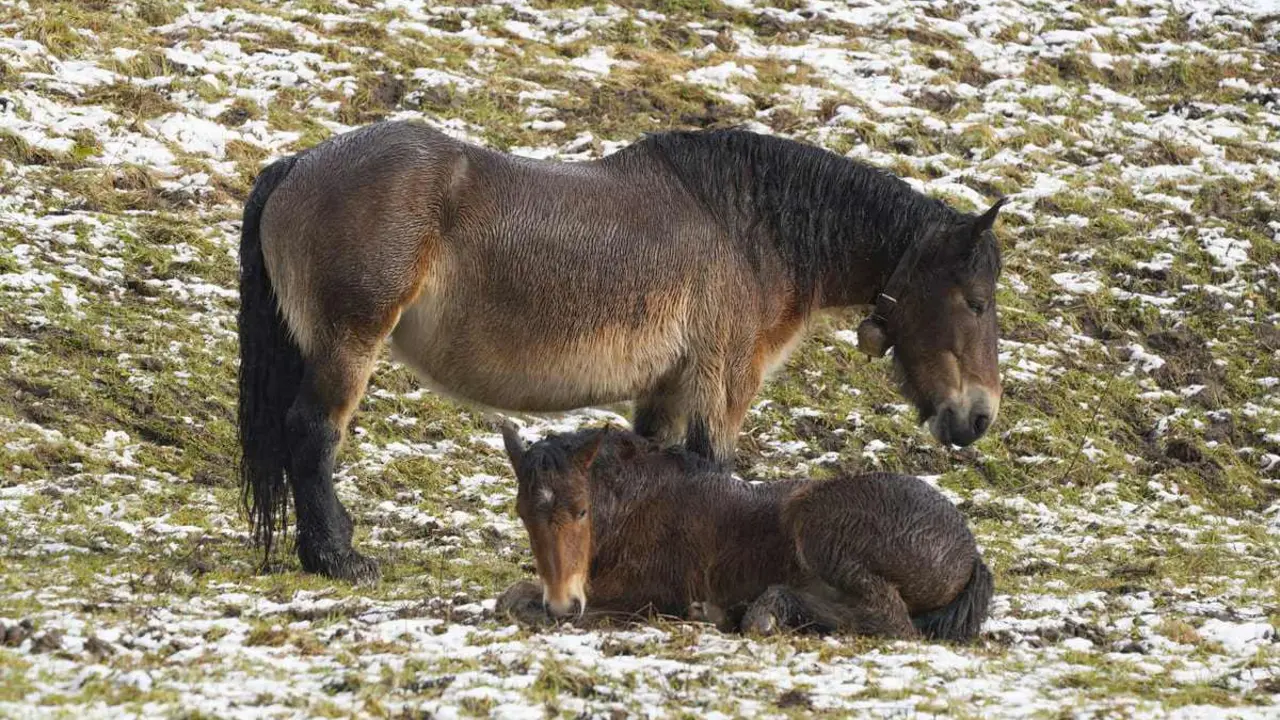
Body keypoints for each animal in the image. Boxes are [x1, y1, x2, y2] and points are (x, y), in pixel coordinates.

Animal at [235, 120, 1003, 576]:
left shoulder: (664, 388)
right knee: (313, 433)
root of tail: (299, 164)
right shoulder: (721, 382)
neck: (744, 229)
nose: (979, 416)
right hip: (349, 342)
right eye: (975, 300)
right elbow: (713, 468)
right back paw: (336, 556)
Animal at [494, 422, 993, 635]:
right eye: (522, 513)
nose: (562, 604)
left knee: (891, 622)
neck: (639, 506)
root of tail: (971, 555)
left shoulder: (637, 593)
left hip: (819, 530)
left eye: (581, 511)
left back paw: (762, 613)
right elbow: (510, 597)